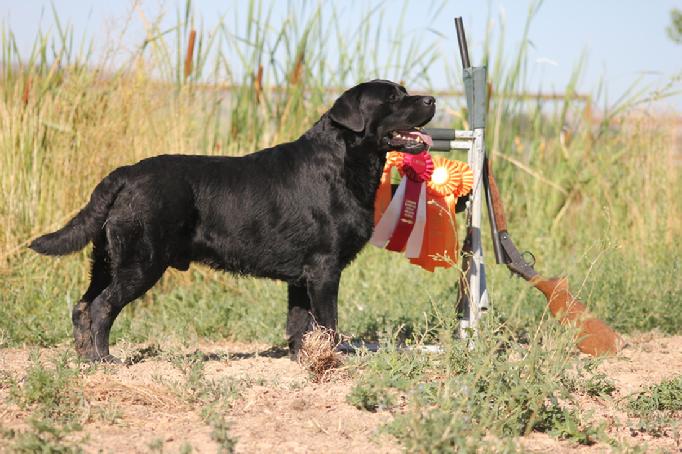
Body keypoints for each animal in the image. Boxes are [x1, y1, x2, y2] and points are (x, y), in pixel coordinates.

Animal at [29, 79, 432, 362]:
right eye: (392, 99)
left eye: (405, 92)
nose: (431, 100)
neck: (343, 162)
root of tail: (125, 173)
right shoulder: (324, 268)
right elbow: (328, 325)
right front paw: (332, 363)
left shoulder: (301, 276)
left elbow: (298, 324)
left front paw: (304, 362)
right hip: (140, 261)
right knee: (101, 307)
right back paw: (104, 359)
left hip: (106, 259)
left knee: (82, 306)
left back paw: (84, 358)